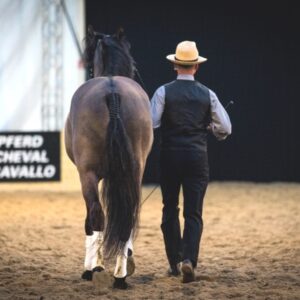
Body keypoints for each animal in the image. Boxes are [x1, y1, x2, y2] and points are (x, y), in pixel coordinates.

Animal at [64, 27, 152, 290]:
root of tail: (112, 89)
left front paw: (97, 265)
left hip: (88, 174)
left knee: (95, 215)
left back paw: (92, 270)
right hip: (134, 171)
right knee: (127, 218)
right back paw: (120, 276)